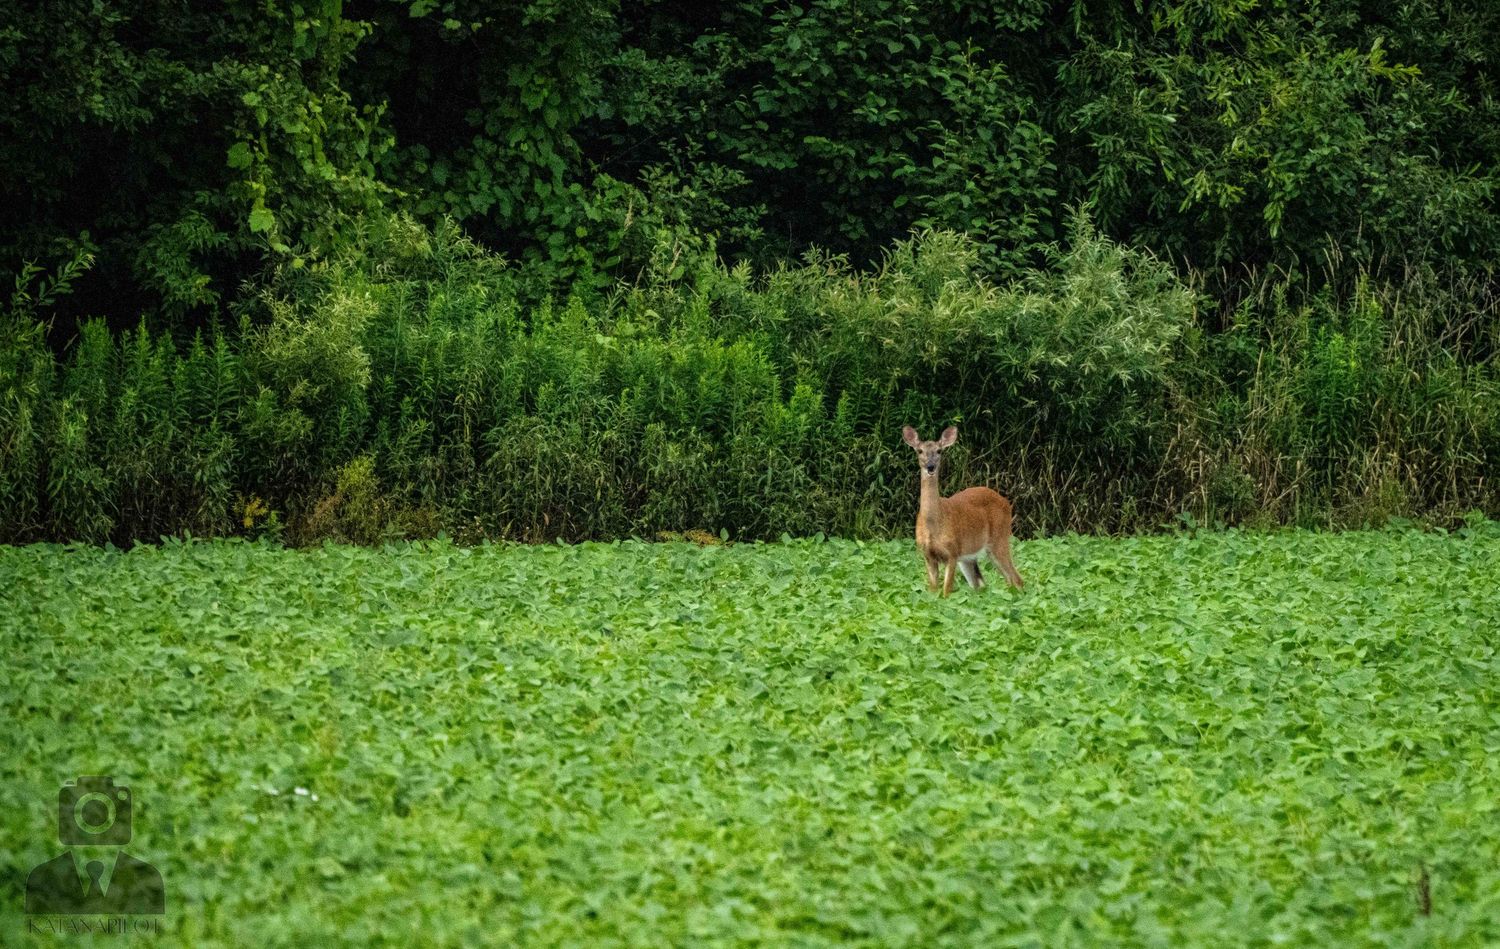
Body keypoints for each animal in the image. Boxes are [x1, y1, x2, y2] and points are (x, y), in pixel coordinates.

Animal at [902, 425, 1023, 597]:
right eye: (919, 450)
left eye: (939, 451)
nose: (930, 466)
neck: (934, 525)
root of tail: (1007, 502)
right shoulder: (928, 555)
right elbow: (933, 592)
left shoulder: (952, 553)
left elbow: (946, 592)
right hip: (968, 558)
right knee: (982, 584)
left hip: (1000, 538)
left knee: (1016, 579)